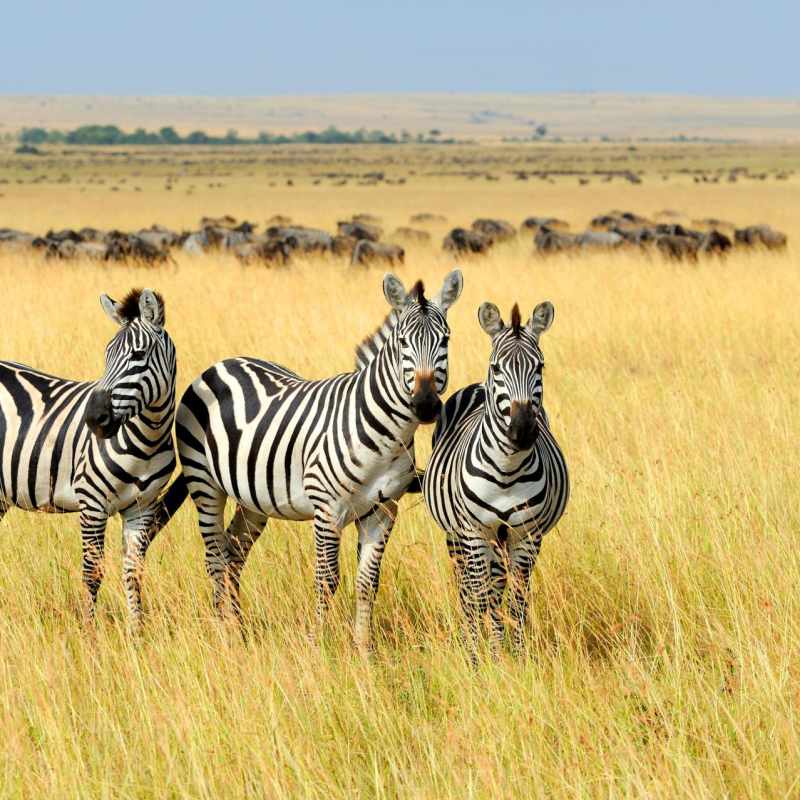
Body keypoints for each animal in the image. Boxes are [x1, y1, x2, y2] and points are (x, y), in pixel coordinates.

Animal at [0, 288, 177, 628]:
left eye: (138, 356)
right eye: (106, 355)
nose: (94, 419)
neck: (147, 440)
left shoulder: (142, 508)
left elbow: (133, 573)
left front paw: (137, 634)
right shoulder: (92, 503)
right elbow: (92, 574)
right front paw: (89, 634)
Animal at [170, 270, 463, 650]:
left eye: (445, 340)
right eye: (402, 342)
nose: (426, 404)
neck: (385, 433)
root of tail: (222, 363)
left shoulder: (383, 511)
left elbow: (368, 583)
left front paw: (363, 650)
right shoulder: (327, 509)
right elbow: (327, 580)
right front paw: (317, 646)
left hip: (253, 497)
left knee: (233, 551)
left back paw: (238, 629)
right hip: (205, 484)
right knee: (215, 557)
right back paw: (224, 634)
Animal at [422, 300, 569, 658]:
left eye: (540, 366)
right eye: (497, 368)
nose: (523, 430)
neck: (507, 469)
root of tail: (476, 384)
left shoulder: (526, 535)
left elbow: (515, 600)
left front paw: (515, 655)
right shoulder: (474, 532)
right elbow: (479, 597)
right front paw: (478, 657)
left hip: (502, 539)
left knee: (499, 587)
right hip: (457, 535)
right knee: (467, 587)